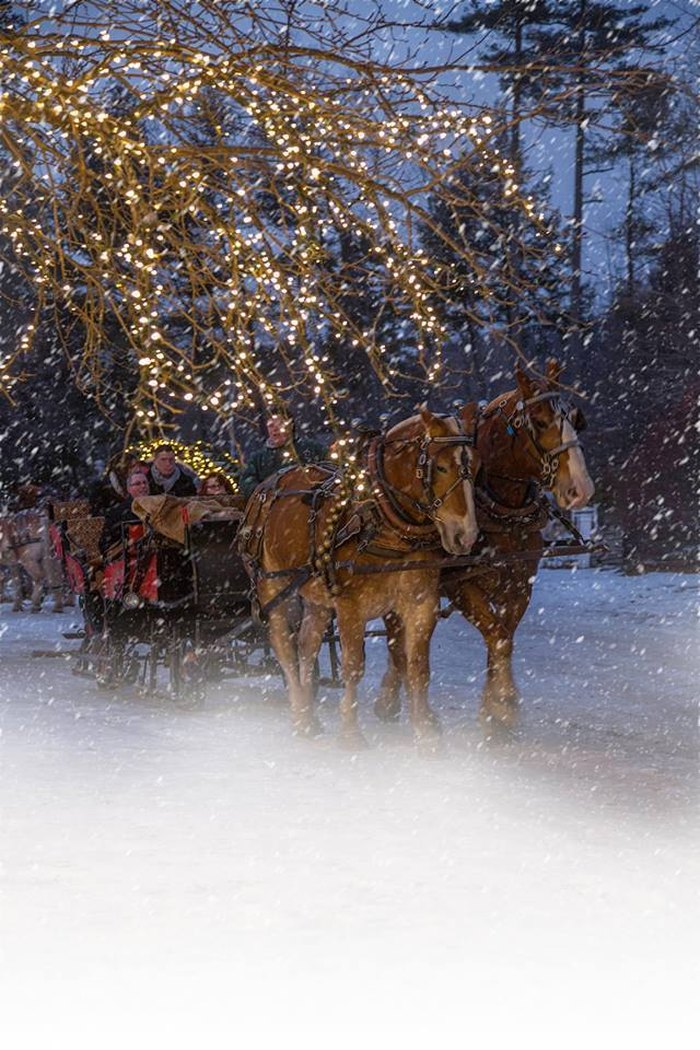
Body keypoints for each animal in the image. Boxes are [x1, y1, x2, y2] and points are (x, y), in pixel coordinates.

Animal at [238, 403, 478, 747]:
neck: (382, 518)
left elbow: (418, 667)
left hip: (317, 596)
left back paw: (309, 714)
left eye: (476, 464)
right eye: (441, 467)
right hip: (273, 588)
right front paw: (351, 733)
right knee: (284, 647)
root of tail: (268, 483)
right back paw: (299, 713)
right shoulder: (350, 605)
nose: (465, 535)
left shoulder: (420, 602)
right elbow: (353, 666)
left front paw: (426, 734)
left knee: (306, 644)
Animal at [377, 361, 596, 730]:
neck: (501, 508)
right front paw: (503, 704)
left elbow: (503, 638)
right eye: (539, 421)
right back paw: (389, 698)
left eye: (576, 419)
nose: (580, 488)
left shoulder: (520, 584)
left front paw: (494, 708)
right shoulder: (461, 585)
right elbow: (497, 636)